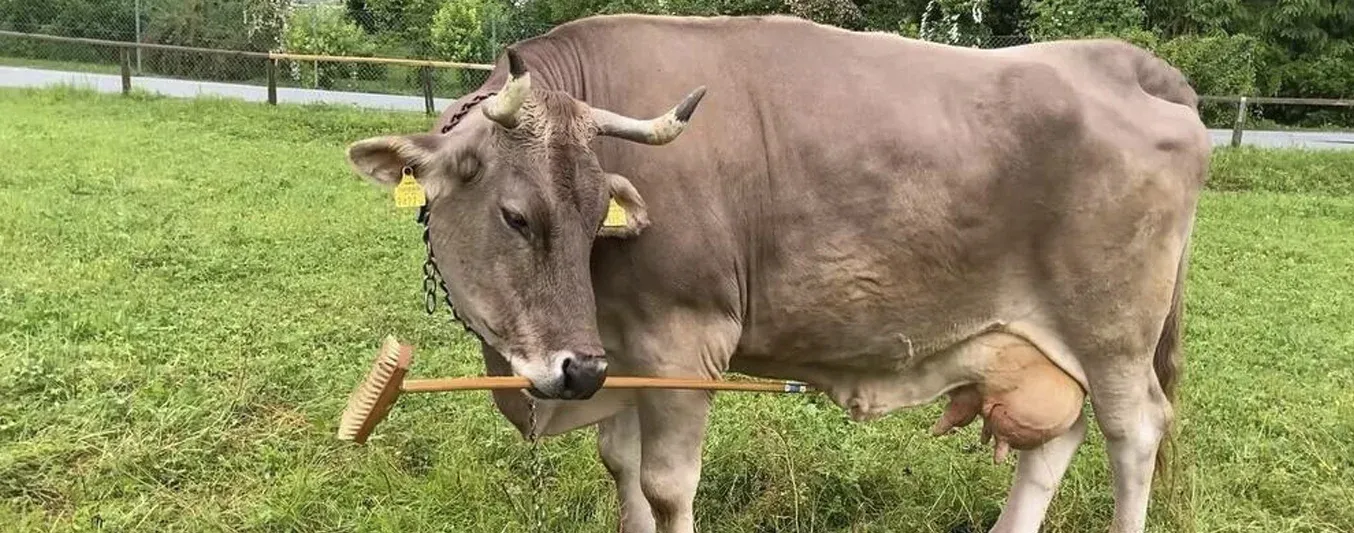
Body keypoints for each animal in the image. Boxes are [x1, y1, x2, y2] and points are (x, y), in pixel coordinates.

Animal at [343, 14, 1209, 533]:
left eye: (595, 218)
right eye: (518, 216)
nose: (574, 368)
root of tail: (1122, 61)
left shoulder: (682, 341)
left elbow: (666, 486)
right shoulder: (620, 353)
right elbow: (620, 466)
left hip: (1113, 333)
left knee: (1133, 432)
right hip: (1046, 342)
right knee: (1057, 435)